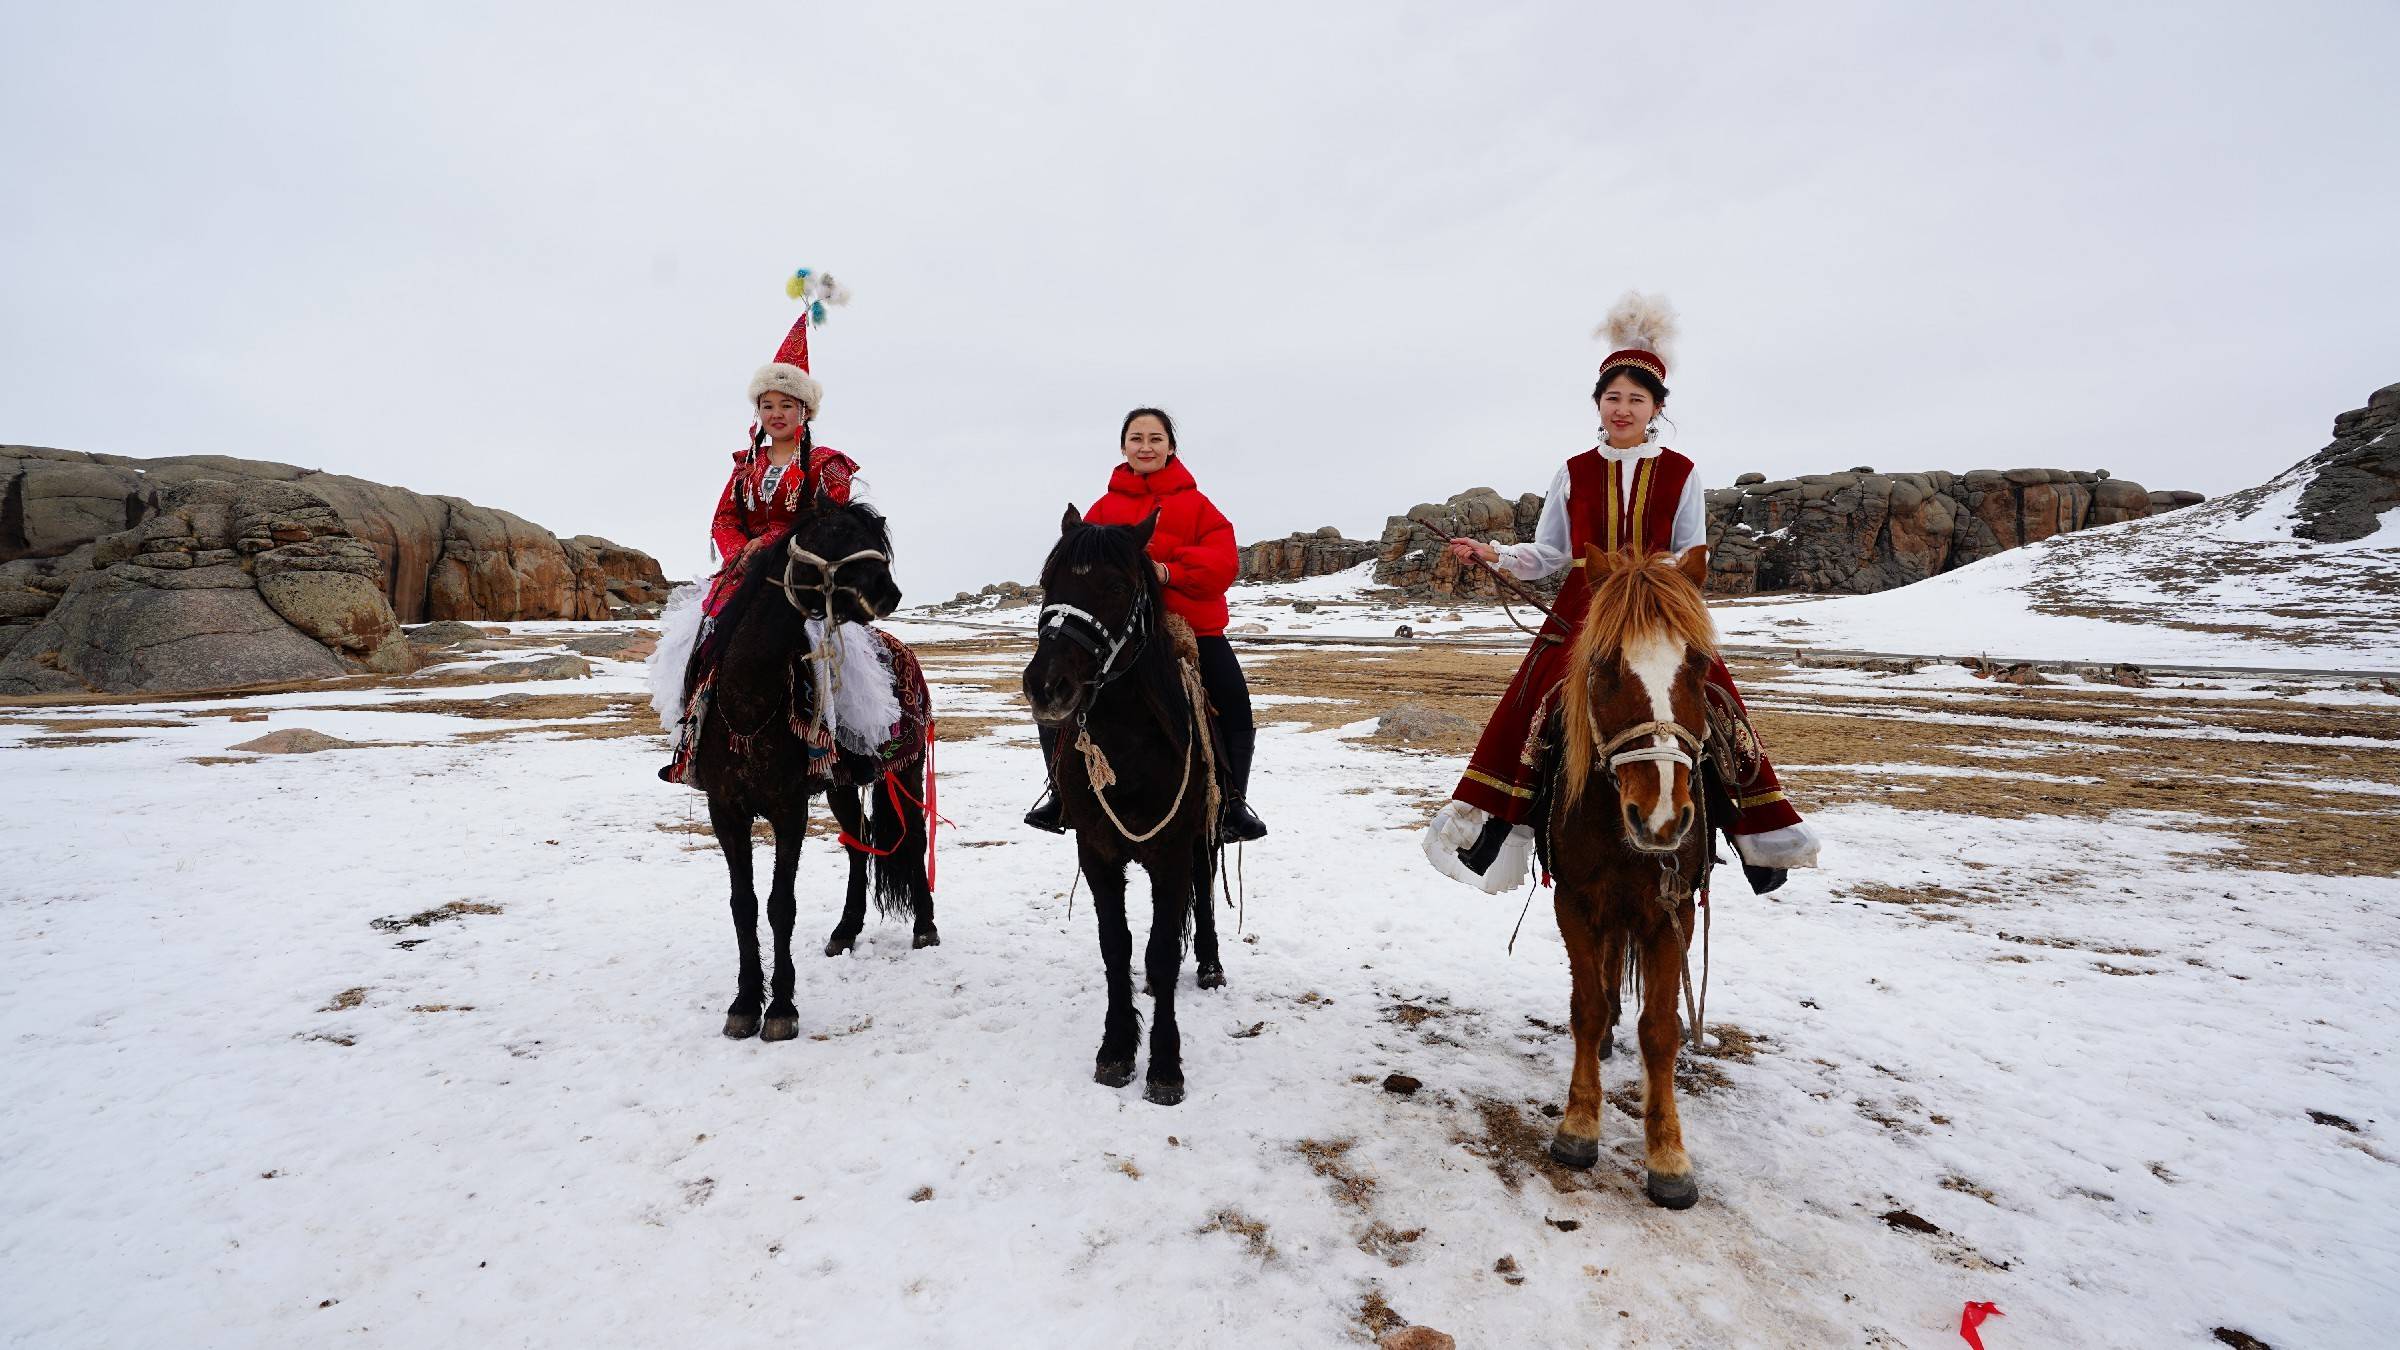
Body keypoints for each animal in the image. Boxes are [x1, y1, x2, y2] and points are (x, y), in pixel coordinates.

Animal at [686, 504, 936, 1042]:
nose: (888, 592)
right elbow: (743, 904)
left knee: (912, 840)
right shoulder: (726, 810)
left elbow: (781, 904)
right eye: (835, 532)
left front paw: (781, 1009)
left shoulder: (789, 809)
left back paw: (925, 927)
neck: (751, 700)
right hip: (841, 785)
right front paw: (744, 1004)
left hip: (906, 769)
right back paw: (845, 932)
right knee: (860, 840)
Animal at [1022, 504, 1228, 1104]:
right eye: (1048, 583)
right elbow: (1116, 946)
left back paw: (1210, 964)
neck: (1131, 746)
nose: (1047, 686)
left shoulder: (1172, 852)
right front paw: (1115, 1049)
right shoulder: (1097, 851)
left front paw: (1164, 1065)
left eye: (1116, 585)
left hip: (1203, 838)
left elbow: (1160, 954)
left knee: (1205, 893)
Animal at [1536, 540, 1728, 1201]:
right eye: (1605, 666)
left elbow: (1662, 1029)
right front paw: (1578, 1127)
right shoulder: (1572, 900)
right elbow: (1587, 1008)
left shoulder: (1672, 911)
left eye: (1699, 664)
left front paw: (1668, 1156)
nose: (1662, 815)